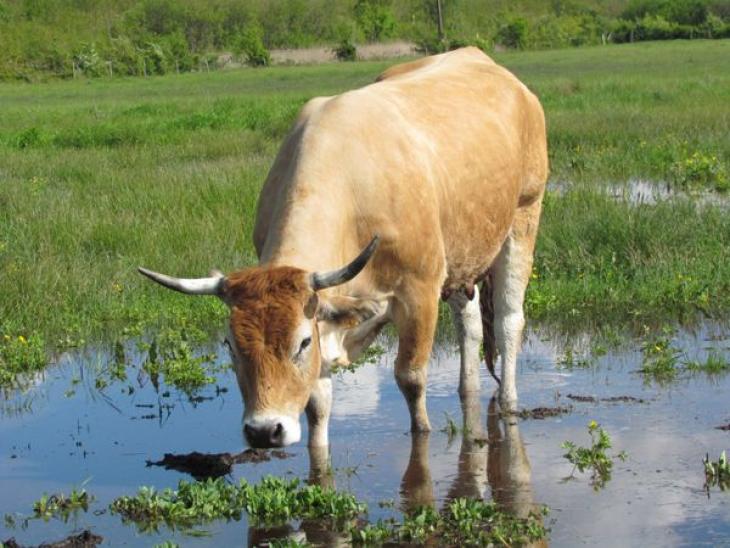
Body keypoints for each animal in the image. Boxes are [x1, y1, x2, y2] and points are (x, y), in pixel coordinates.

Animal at [138, 47, 548, 449]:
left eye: (302, 343)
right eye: (230, 344)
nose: (264, 431)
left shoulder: (419, 292)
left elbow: (411, 378)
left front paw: (422, 434)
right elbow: (317, 404)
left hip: (523, 219)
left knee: (509, 320)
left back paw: (509, 401)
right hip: (464, 256)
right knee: (470, 326)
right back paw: (469, 391)